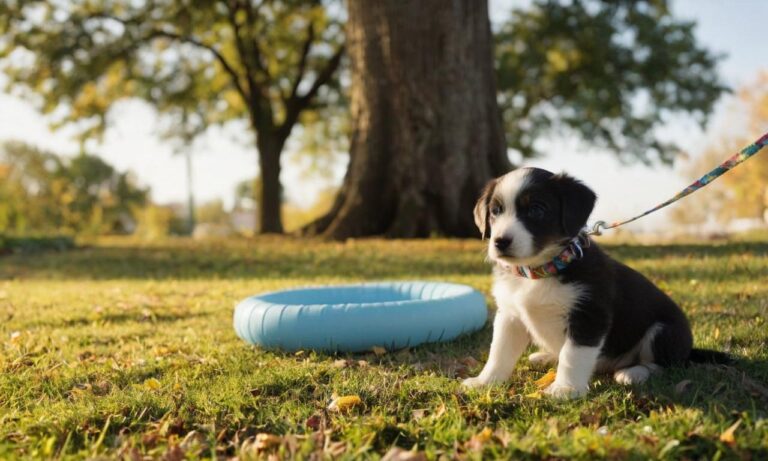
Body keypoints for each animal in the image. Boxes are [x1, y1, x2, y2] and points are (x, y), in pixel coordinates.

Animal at [462, 167, 704, 398]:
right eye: (495, 211)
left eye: (537, 210)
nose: (500, 242)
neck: (541, 271)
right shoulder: (510, 316)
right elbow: (499, 352)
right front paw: (485, 382)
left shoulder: (588, 315)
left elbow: (572, 355)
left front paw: (565, 389)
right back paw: (546, 356)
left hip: (664, 331)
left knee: (664, 365)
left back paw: (633, 372)